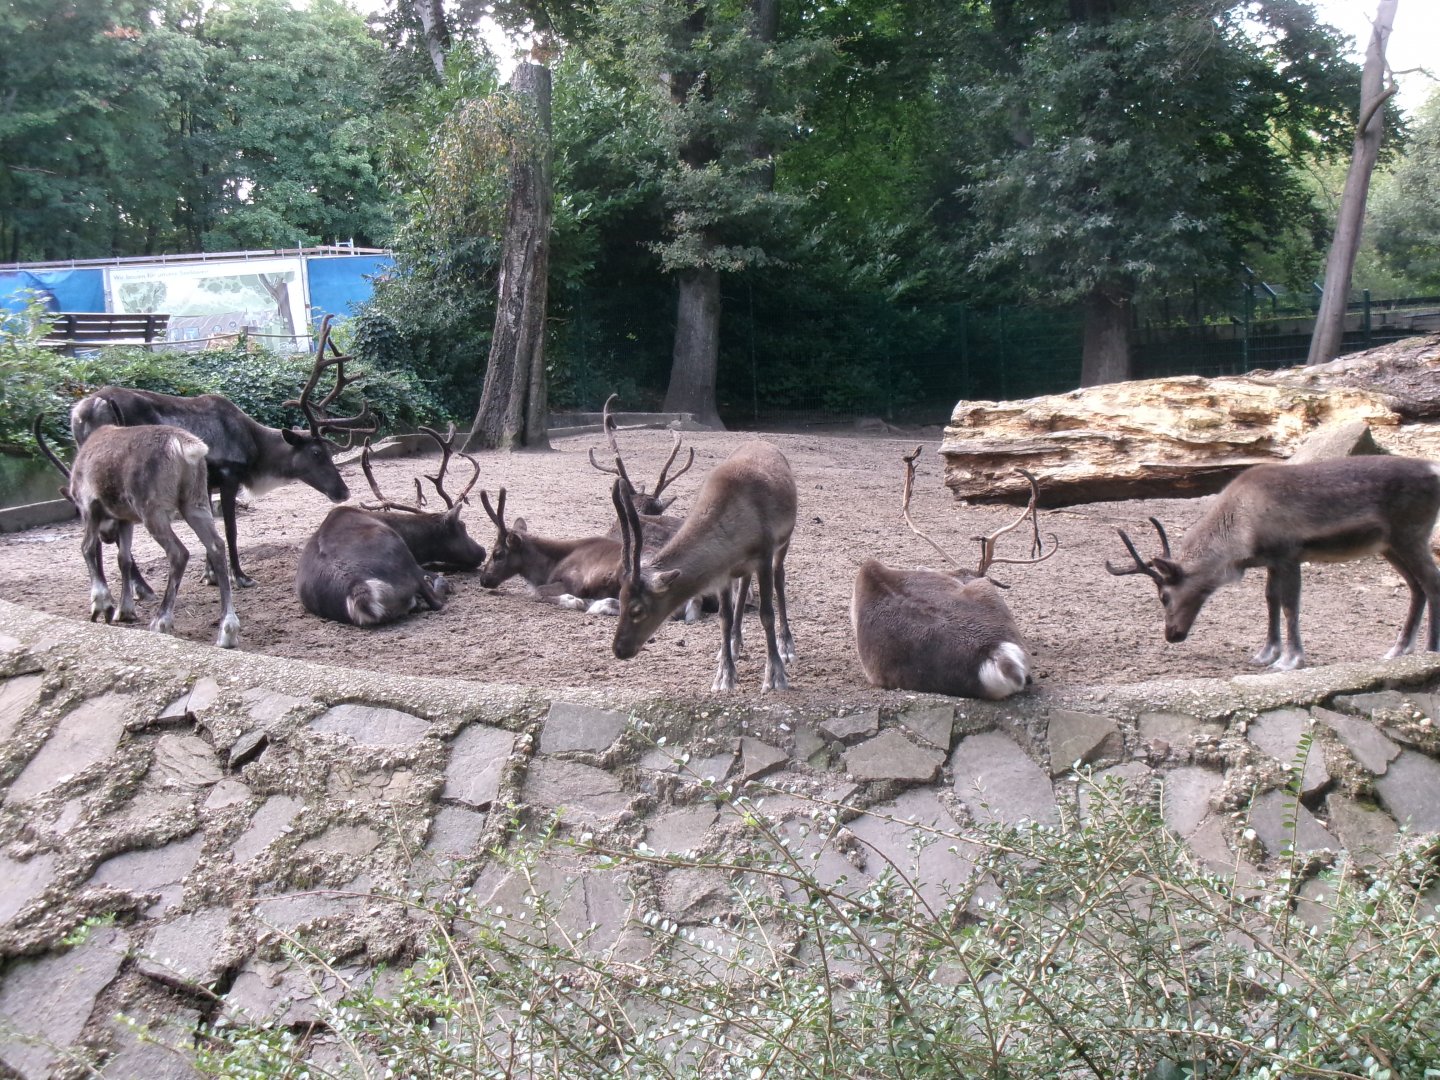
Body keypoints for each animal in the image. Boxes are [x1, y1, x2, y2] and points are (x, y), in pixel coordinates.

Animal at [37, 420, 240, 649]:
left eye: (77, 510)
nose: (107, 537)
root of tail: (185, 446)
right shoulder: (125, 519)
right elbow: (123, 558)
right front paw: (124, 610)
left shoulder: (90, 506)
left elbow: (86, 548)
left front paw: (101, 604)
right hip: (195, 501)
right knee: (216, 545)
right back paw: (227, 631)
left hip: (153, 510)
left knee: (179, 552)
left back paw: (161, 621)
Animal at [68, 314, 376, 588]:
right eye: (316, 453)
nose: (343, 492)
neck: (255, 450)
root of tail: (88, 409)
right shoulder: (229, 478)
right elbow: (230, 529)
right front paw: (239, 576)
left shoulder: (206, 484)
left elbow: (209, 529)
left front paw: (210, 575)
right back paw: (140, 588)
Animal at [611, 439, 797, 692]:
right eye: (619, 600)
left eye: (637, 610)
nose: (618, 650)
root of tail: (763, 441)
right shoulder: (724, 571)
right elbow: (724, 617)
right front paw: (724, 675)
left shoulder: (764, 554)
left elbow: (766, 614)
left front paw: (775, 676)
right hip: (745, 567)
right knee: (744, 586)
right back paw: (735, 643)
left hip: (784, 541)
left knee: (780, 579)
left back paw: (786, 645)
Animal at [1106, 455, 1440, 671]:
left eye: (1164, 596)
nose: (1172, 635)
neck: (1239, 530)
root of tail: (1434, 467)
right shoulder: (1272, 562)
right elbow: (1271, 600)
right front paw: (1265, 653)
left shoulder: (1289, 554)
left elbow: (1290, 604)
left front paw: (1290, 659)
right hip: (1390, 546)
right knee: (1416, 587)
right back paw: (1398, 649)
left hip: (1410, 536)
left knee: (1431, 582)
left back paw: (1429, 650)